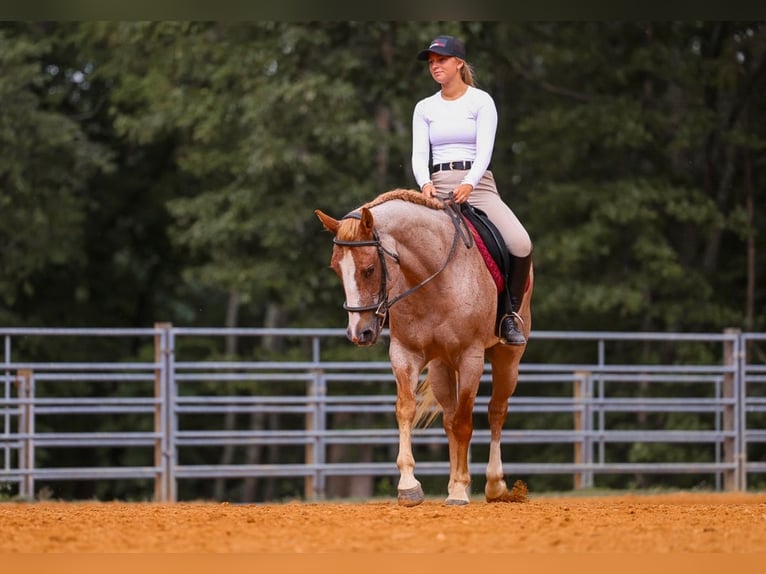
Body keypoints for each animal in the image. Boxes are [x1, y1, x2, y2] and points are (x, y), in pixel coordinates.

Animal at [315, 188, 533, 506]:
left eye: (369, 269)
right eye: (335, 269)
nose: (359, 333)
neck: (433, 276)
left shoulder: (471, 358)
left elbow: (465, 422)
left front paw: (461, 491)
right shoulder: (404, 355)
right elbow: (407, 410)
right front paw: (409, 486)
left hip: (507, 357)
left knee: (496, 411)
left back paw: (494, 485)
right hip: (441, 366)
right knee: (450, 419)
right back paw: (455, 484)